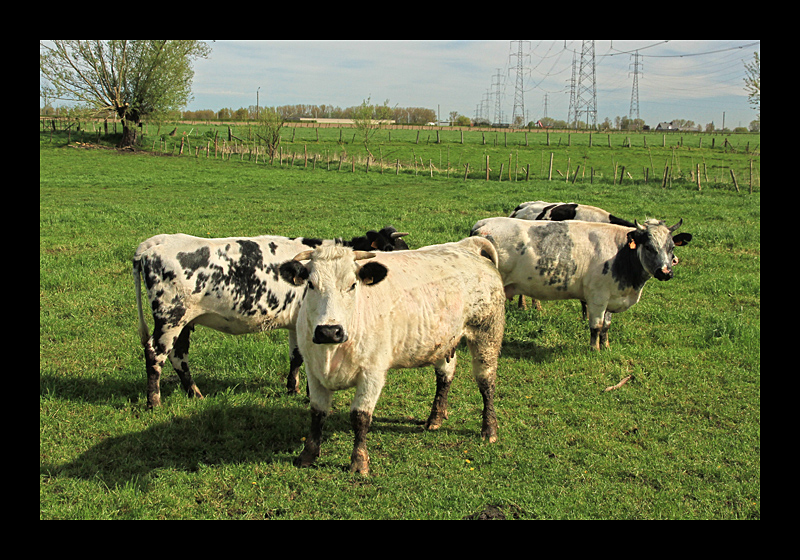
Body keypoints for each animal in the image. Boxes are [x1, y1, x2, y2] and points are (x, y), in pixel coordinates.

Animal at [133, 225, 406, 410]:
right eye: (389, 248)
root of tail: (158, 241)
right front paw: (308, 393)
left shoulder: (295, 324)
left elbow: (295, 357)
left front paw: (292, 388)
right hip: (170, 318)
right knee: (155, 354)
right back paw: (154, 401)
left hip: (183, 322)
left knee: (178, 356)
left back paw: (194, 393)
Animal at [278, 238, 504, 474]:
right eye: (311, 285)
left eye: (352, 285)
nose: (329, 331)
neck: (332, 353)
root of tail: (466, 246)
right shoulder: (313, 371)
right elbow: (317, 413)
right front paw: (308, 455)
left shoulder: (372, 373)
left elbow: (360, 416)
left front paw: (359, 462)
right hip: (444, 341)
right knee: (445, 375)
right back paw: (435, 418)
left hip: (487, 334)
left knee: (486, 382)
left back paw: (489, 429)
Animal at [472, 218, 692, 350]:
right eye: (648, 247)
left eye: (671, 247)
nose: (665, 272)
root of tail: (482, 225)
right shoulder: (597, 297)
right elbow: (596, 326)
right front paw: (594, 349)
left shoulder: (611, 296)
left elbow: (606, 326)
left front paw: (606, 347)